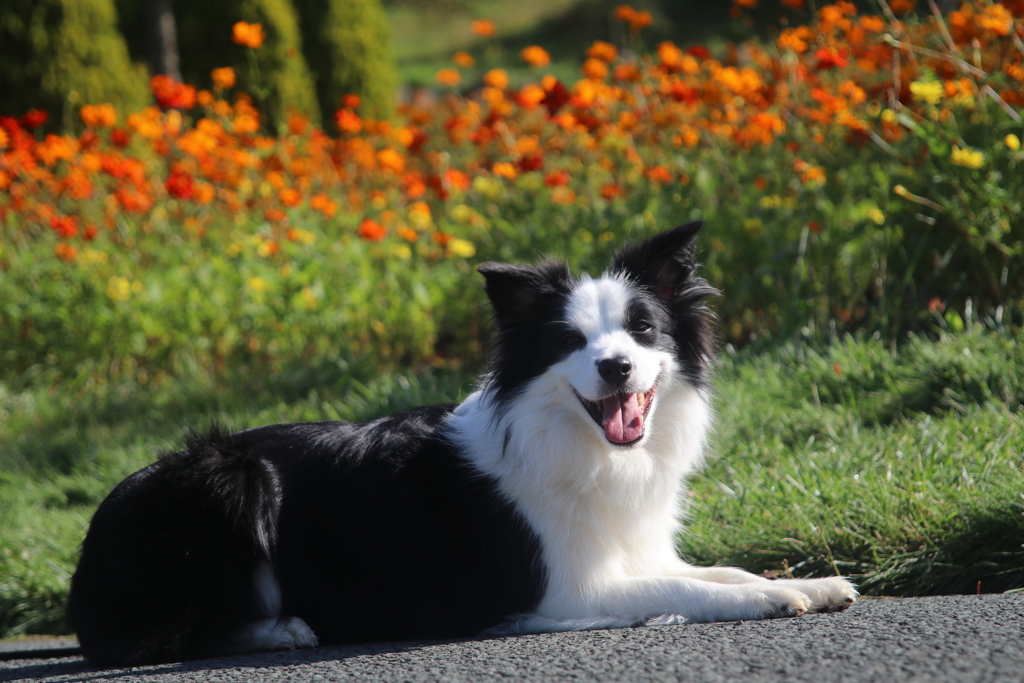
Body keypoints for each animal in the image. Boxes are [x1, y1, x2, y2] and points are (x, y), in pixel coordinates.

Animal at [66, 225, 856, 667]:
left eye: (644, 330)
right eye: (570, 342)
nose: (615, 367)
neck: (581, 443)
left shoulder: (637, 548)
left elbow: (722, 569)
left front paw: (811, 582)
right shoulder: (566, 586)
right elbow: (690, 589)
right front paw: (777, 596)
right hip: (228, 476)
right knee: (170, 634)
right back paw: (282, 629)